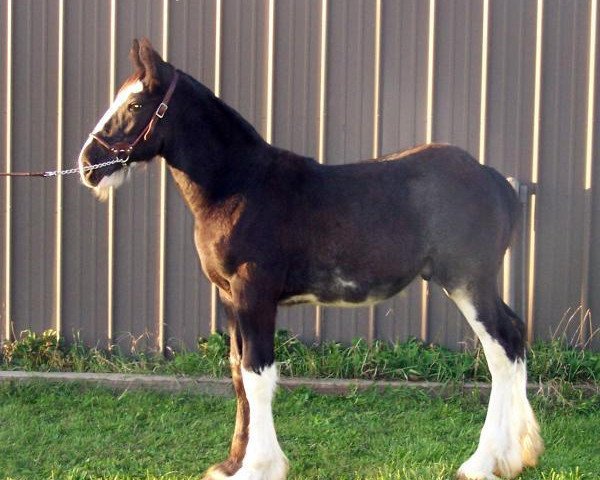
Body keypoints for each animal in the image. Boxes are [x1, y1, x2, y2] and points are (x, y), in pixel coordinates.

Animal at [78, 38, 544, 480]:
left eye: (135, 104)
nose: (87, 165)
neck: (240, 186)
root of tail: (492, 178)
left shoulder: (255, 295)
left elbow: (258, 375)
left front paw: (259, 467)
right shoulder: (230, 298)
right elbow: (237, 373)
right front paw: (231, 464)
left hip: (468, 282)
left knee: (502, 346)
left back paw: (483, 462)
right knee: (513, 338)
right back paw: (515, 456)